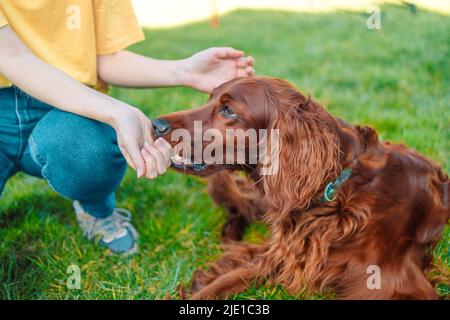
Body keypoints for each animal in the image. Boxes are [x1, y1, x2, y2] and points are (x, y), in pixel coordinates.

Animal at [153, 76, 448, 298]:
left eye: (228, 110)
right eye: (210, 99)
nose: (156, 124)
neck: (335, 191)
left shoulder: (384, 285)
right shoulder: (280, 256)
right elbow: (223, 283)